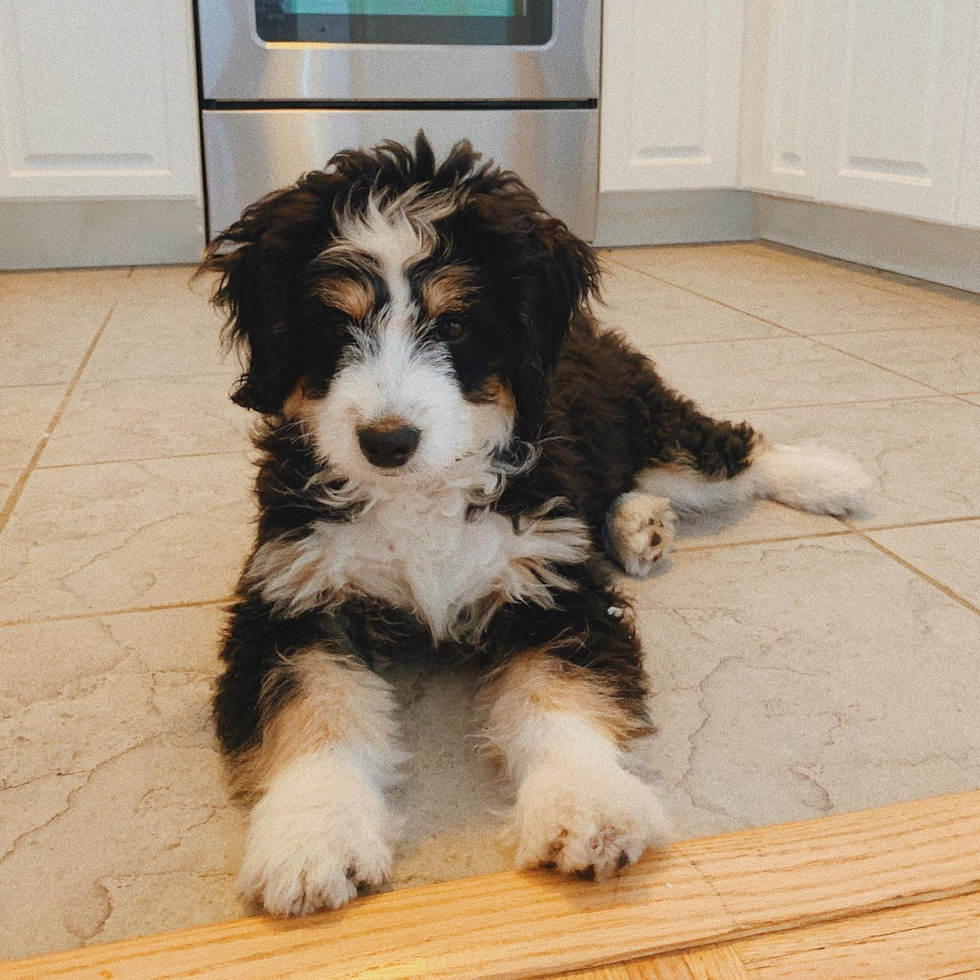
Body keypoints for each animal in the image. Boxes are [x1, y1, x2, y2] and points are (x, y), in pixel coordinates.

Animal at [203, 134, 868, 916]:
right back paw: (641, 524)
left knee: (734, 450)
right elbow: (310, 704)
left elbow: (559, 691)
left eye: (454, 323)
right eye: (337, 325)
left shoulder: (551, 582)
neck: (423, 492)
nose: (387, 442)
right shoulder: (294, 593)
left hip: (648, 425)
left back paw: (830, 476)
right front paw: (311, 838)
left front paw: (585, 804)